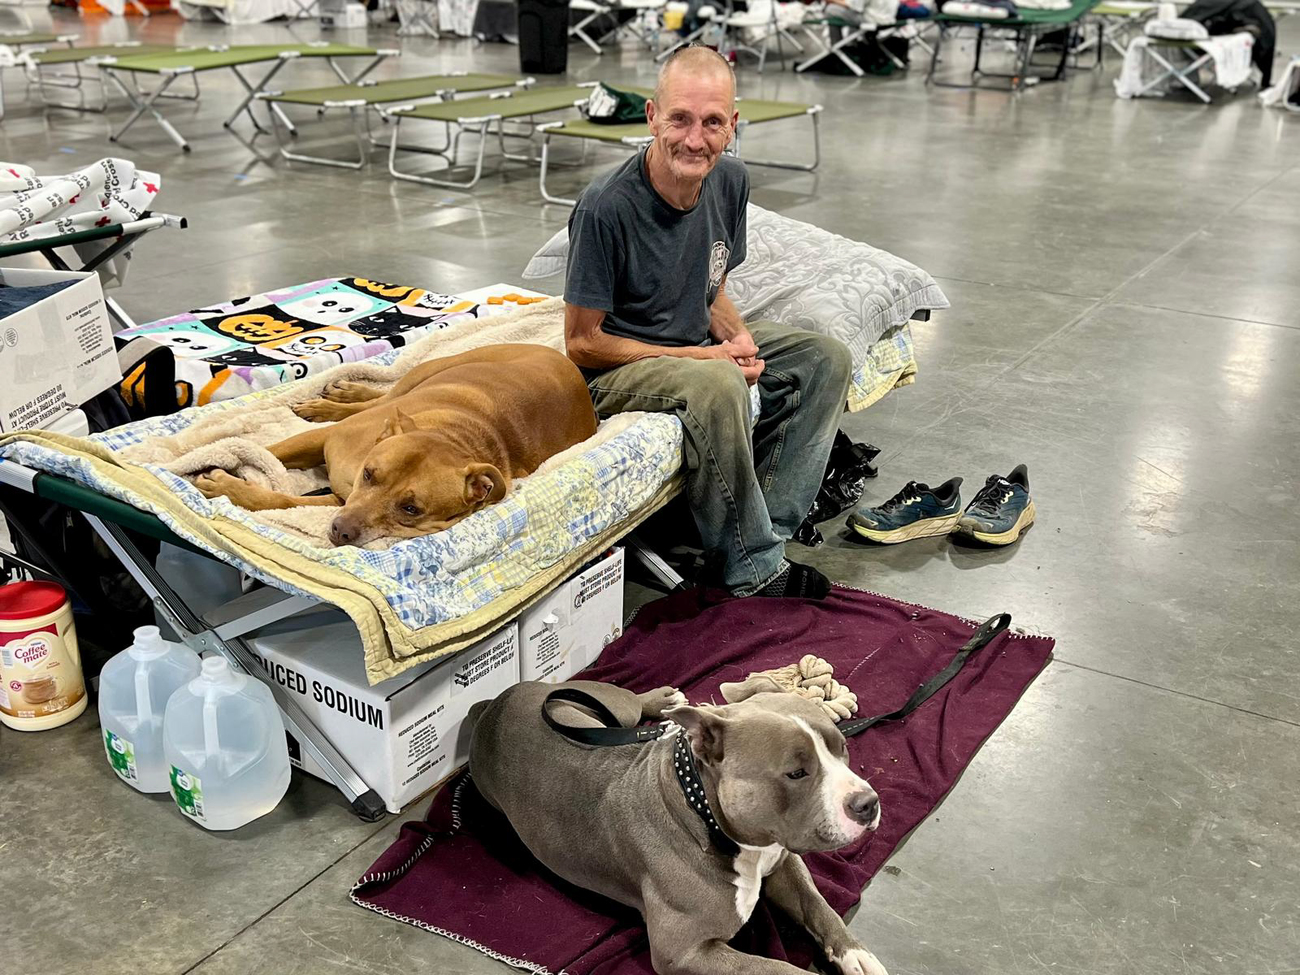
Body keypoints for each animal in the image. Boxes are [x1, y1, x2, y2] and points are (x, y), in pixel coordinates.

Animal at [196, 343, 598, 546]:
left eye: (411, 509)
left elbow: (282, 500)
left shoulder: (338, 500)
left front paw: (228, 487)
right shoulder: (326, 443)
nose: (341, 532)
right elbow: (275, 452)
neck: (449, 435)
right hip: (428, 371)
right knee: (381, 396)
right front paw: (186, 461)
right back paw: (338, 399)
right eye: (370, 474)